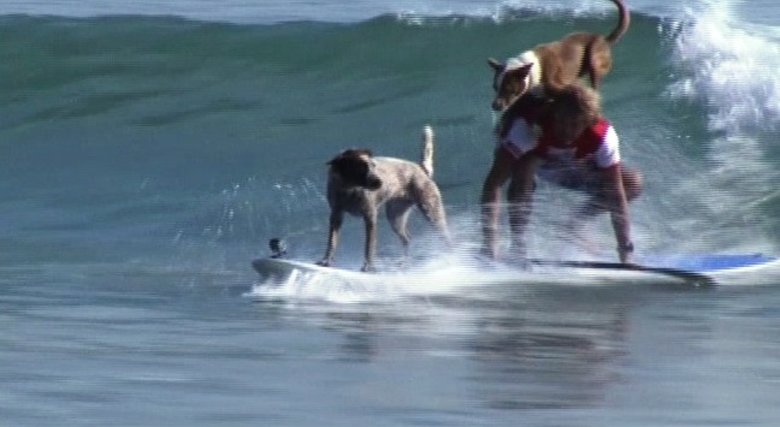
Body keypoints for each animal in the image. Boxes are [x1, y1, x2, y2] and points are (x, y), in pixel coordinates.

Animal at [318, 126, 450, 272]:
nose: (380, 182)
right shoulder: (336, 215)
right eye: (361, 167)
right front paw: (326, 261)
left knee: (447, 238)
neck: (350, 189)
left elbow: (369, 245)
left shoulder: (370, 217)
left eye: (373, 166)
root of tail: (421, 169)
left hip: (431, 212)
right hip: (395, 217)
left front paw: (368, 266)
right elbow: (332, 241)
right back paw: (404, 263)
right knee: (407, 239)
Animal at [488, 0, 630, 111]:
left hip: (594, 57)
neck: (531, 71)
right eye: (495, 87)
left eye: (508, 88)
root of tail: (604, 39)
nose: (495, 106)